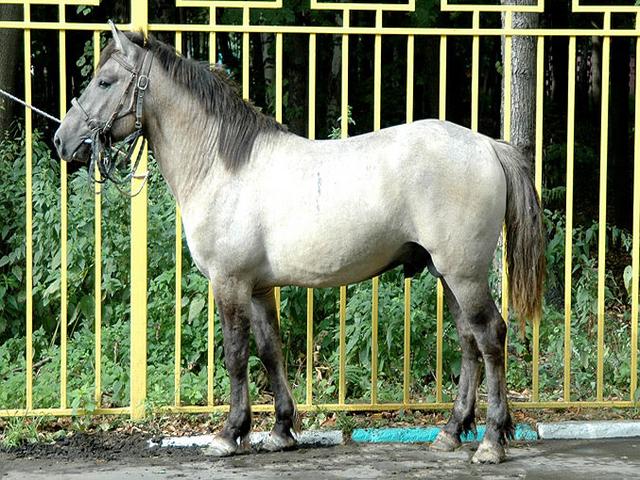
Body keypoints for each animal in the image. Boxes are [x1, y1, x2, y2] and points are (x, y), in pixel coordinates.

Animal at [54, 22, 544, 464]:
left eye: (104, 81)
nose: (62, 139)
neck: (220, 164)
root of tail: (487, 145)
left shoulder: (229, 283)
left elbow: (236, 355)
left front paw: (229, 434)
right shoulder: (258, 288)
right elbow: (271, 351)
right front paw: (280, 430)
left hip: (463, 274)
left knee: (490, 336)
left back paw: (491, 442)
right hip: (447, 274)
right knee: (468, 341)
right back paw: (451, 432)